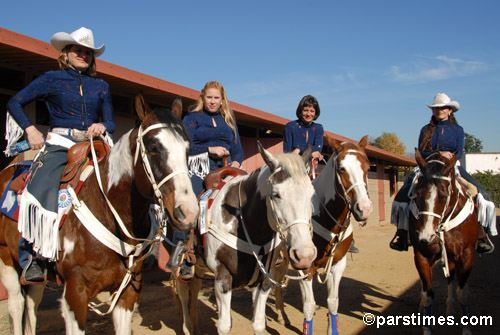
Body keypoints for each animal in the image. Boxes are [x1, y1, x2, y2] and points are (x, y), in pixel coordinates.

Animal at [0, 100, 199, 335]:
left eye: (187, 150)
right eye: (153, 148)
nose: (188, 213)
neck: (108, 212)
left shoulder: (128, 292)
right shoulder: (75, 294)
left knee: (32, 305)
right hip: (6, 258)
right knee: (16, 304)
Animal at [172, 142, 318, 335]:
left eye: (311, 193)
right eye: (277, 194)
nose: (304, 255)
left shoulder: (264, 280)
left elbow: (259, 324)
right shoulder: (223, 277)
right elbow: (224, 326)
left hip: (200, 263)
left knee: (194, 288)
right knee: (182, 290)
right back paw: (188, 327)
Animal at [272, 136, 374, 335]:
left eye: (367, 167)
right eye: (342, 169)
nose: (364, 209)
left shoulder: (338, 264)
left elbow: (333, 303)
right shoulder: (305, 269)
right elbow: (309, 306)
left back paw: (281, 315)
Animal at [410, 152, 480, 335]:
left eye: (443, 196)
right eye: (418, 194)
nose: (426, 236)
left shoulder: (466, 255)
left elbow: (463, 293)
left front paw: (467, 329)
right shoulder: (421, 255)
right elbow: (428, 294)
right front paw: (427, 328)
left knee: (450, 279)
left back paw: (451, 310)